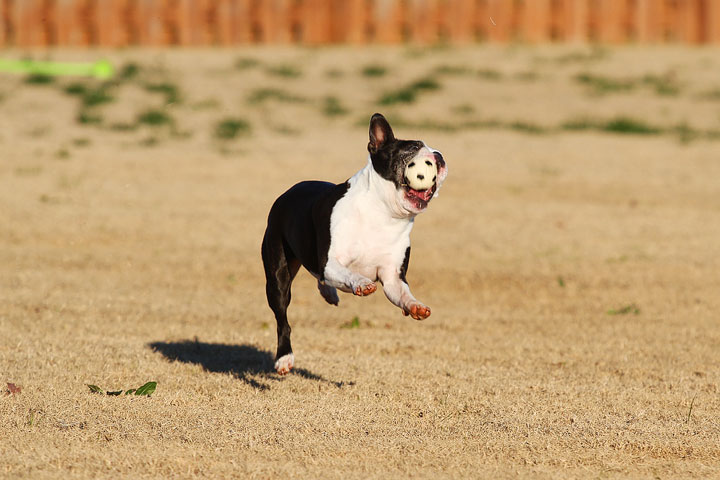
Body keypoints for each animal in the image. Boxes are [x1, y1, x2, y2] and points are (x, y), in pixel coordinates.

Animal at [262, 113, 448, 376]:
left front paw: (416, 306)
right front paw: (361, 283)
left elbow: (403, 293)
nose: (439, 156)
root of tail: (289, 191)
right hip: (278, 274)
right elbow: (347, 273)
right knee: (282, 317)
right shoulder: (330, 262)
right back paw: (284, 358)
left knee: (320, 280)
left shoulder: (392, 277)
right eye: (412, 148)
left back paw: (329, 294)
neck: (383, 213)